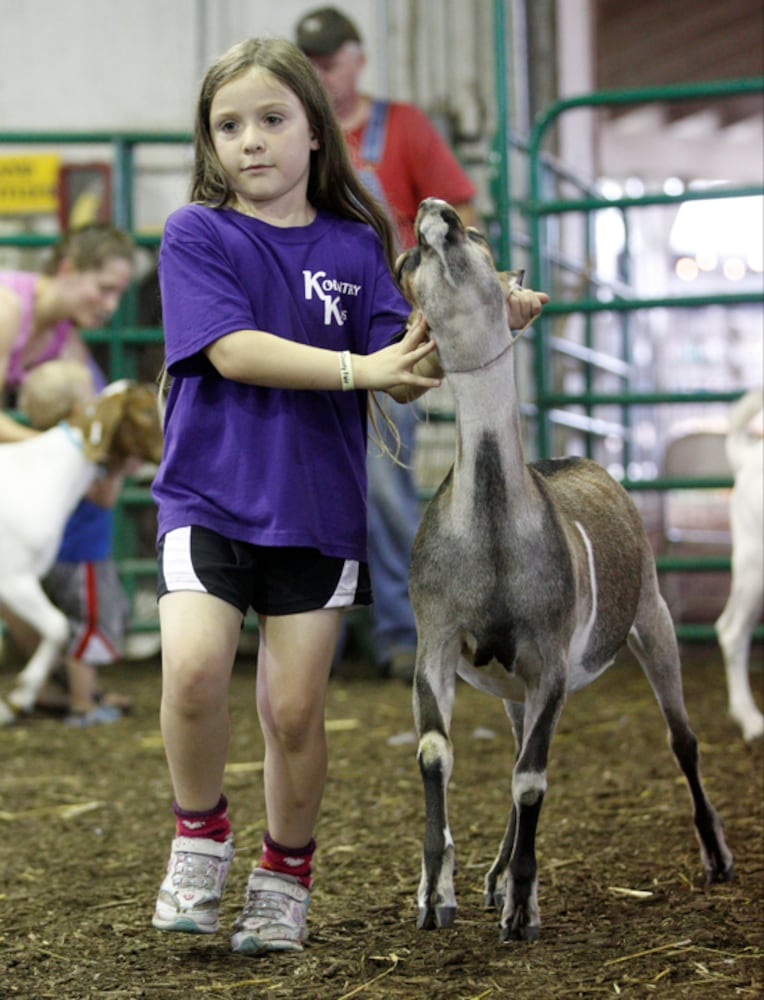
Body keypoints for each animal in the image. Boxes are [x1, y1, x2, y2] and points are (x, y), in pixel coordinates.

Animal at [396, 197, 732, 944]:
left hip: (652, 616)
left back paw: (717, 856)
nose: (435, 212)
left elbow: (532, 781)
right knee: (520, 751)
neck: (494, 536)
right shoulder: (437, 635)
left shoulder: (549, 653)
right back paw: (493, 876)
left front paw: (523, 908)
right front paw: (437, 894)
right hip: (514, 687)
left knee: (684, 739)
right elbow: (437, 754)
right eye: (406, 263)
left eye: (479, 235)